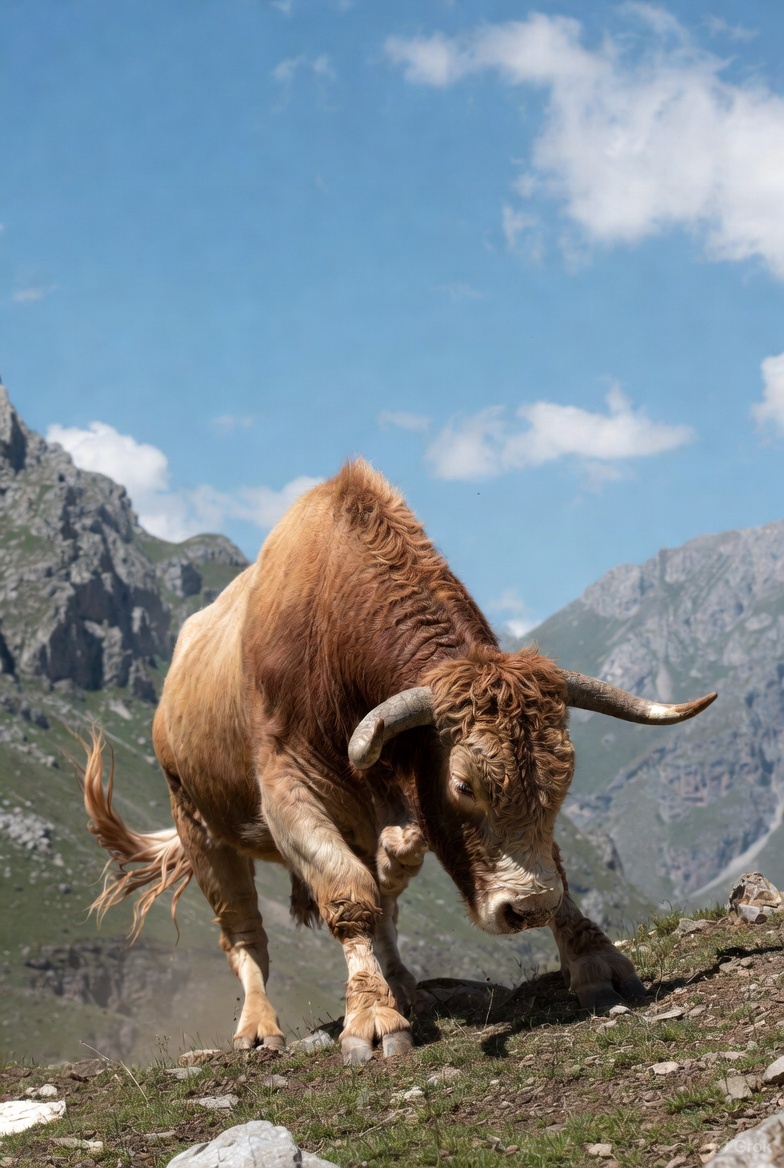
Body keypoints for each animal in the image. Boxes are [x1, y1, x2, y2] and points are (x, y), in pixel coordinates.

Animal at [82, 460, 716, 1064]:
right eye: (463, 785)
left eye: (563, 780)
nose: (528, 907)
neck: (335, 631)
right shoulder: (288, 790)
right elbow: (348, 896)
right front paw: (372, 1019)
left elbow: (535, 867)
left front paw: (594, 959)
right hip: (201, 829)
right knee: (244, 935)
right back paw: (260, 1027)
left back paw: (404, 981)